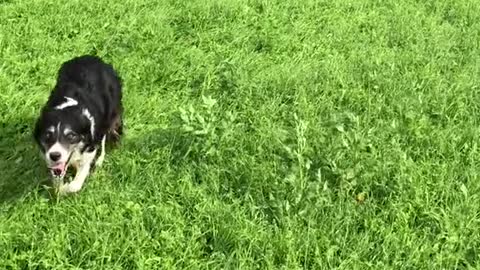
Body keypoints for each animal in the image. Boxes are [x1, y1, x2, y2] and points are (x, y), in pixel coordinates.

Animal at [33, 55, 123, 194]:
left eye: (71, 136)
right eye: (47, 135)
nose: (55, 155)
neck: (67, 109)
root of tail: (93, 57)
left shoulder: (91, 144)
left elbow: (75, 184)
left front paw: (67, 186)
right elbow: (58, 180)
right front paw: (60, 186)